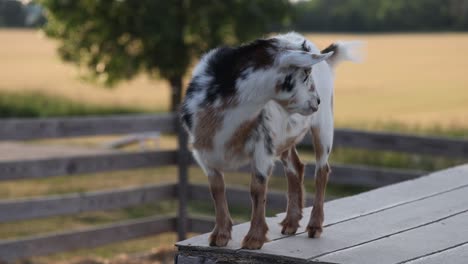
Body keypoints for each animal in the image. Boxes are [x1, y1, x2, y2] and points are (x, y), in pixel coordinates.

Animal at [179, 32, 362, 250]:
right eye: (306, 73)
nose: (316, 101)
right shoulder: (204, 153)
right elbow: (216, 189)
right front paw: (219, 236)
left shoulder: (262, 146)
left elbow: (257, 188)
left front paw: (254, 239)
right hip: (285, 137)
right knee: (295, 167)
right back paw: (291, 222)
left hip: (324, 122)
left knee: (322, 170)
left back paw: (314, 226)